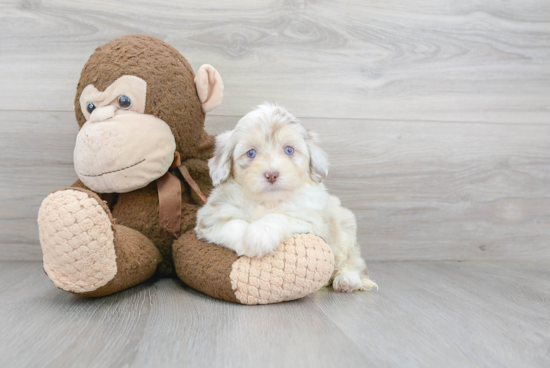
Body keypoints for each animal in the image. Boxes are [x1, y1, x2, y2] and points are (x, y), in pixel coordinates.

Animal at [197, 102, 380, 292]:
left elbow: (280, 217)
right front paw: (248, 241)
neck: (267, 201)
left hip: (345, 228)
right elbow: (232, 225)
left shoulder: (311, 220)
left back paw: (347, 280)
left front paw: (259, 235)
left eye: (289, 150)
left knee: (351, 260)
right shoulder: (210, 217)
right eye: (251, 153)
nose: (271, 175)